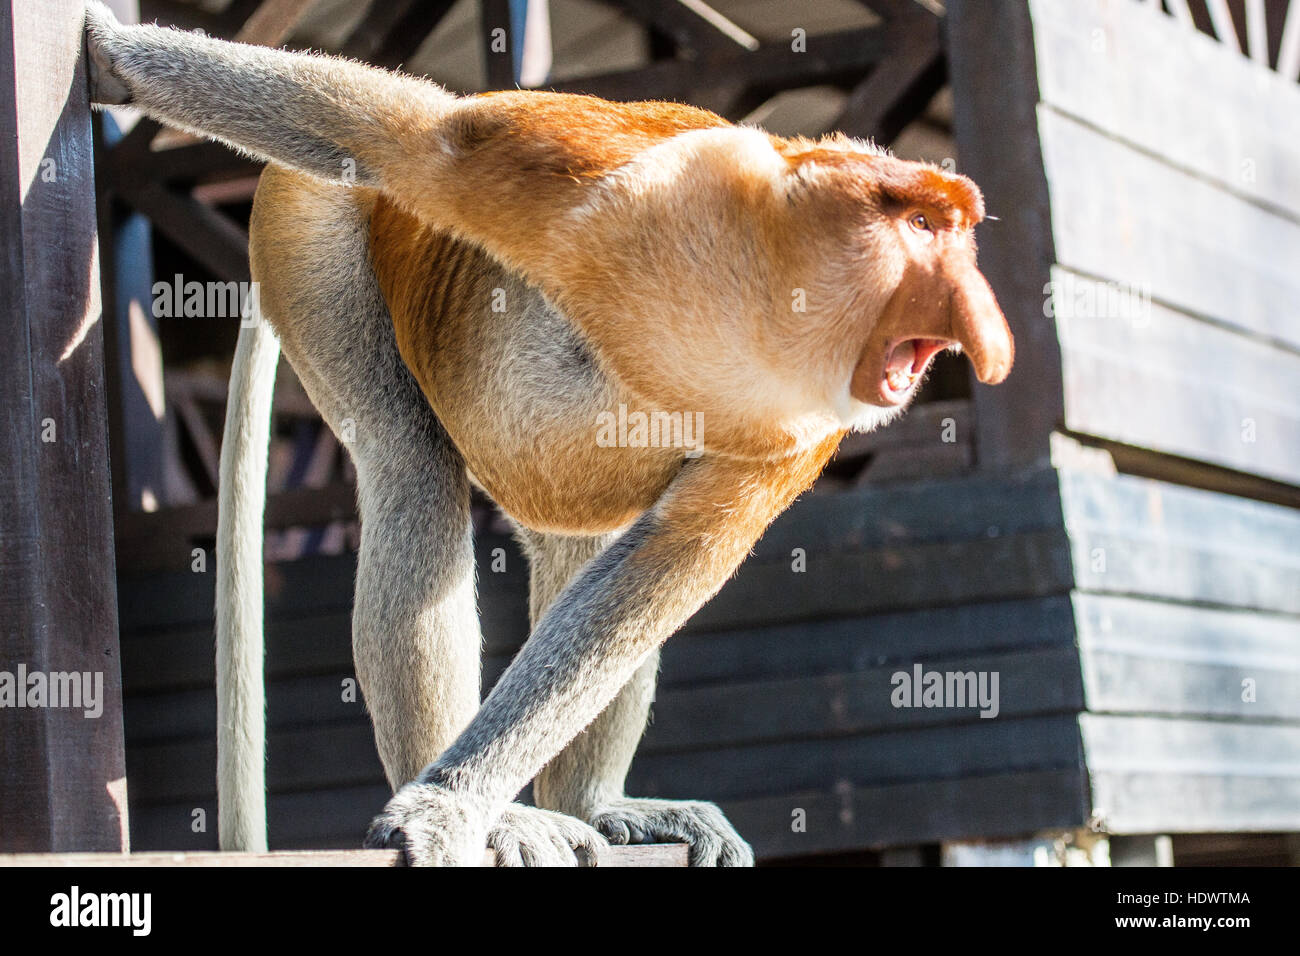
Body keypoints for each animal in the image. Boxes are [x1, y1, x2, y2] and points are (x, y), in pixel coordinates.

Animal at [83, 1, 1013, 868]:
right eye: (923, 227)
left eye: (958, 232)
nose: (983, 326)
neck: (767, 306)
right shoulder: (623, 190)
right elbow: (430, 143)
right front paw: (108, 56)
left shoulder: (802, 432)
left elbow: (670, 559)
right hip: (312, 226)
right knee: (409, 463)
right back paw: (480, 806)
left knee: (589, 546)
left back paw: (594, 805)